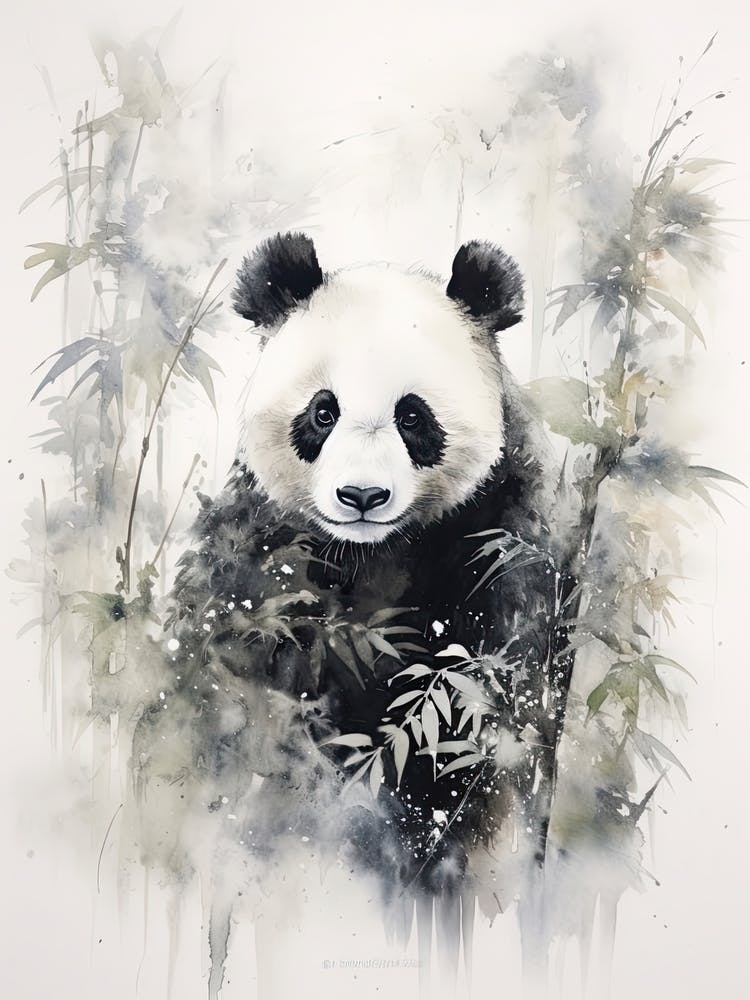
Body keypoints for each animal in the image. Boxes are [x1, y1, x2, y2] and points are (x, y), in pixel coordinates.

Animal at [140, 232, 569, 912]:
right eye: (323, 412)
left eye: (413, 417)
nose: (362, 496)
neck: (373, 553)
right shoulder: (259, 554)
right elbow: (231, 678)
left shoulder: (498, 543)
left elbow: (481, 717)